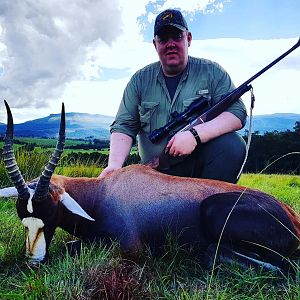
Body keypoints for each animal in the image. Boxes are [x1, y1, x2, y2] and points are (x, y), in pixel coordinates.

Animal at [0, 101, 300, 274]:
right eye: (22, 217)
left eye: (49, 215)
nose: (33, 261)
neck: (101, 193)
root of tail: (291, 215)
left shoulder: (130, 248)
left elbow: (74, 247)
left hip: (214, 212)